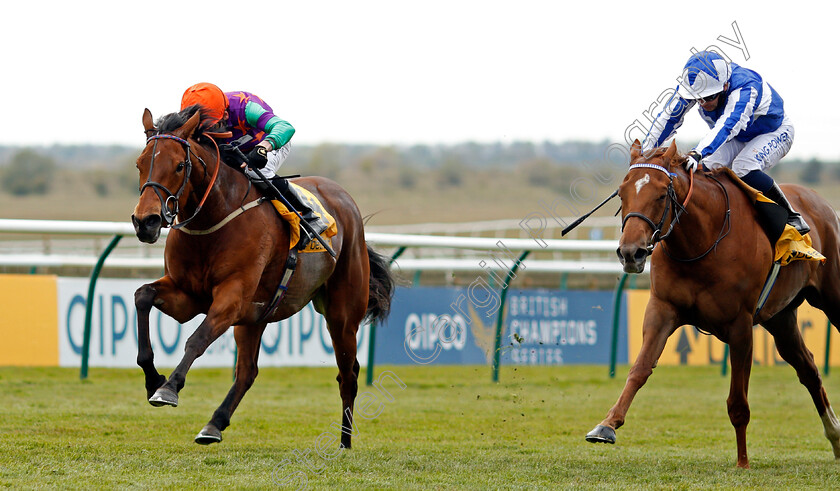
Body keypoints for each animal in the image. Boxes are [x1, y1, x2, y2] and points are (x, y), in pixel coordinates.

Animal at [130, 107, 394, 450]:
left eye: (178, 165)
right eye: (140, 163)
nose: (145, 221)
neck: (213, 218)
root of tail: (344, 199)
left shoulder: (232, 297)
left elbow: (197, 339)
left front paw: (169, 388)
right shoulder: (187, 295)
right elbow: (142, 296)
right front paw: (153, 379)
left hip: (342, 314)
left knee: (347, 374)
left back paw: (344, 442)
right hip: (254, 317)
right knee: (247, 372)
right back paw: (214, 425)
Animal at [584, 139, 840, 468]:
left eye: (660, 194)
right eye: (622, 192)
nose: (631, 253)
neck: (701, 242)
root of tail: (821, 204)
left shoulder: (740, 325)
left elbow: (738, 402)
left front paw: (743, 461)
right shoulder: (662, 309)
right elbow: (640, 369)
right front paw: (607, 425)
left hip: (832, 297)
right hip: (780, 318)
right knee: (808, 369)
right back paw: (836, 438)